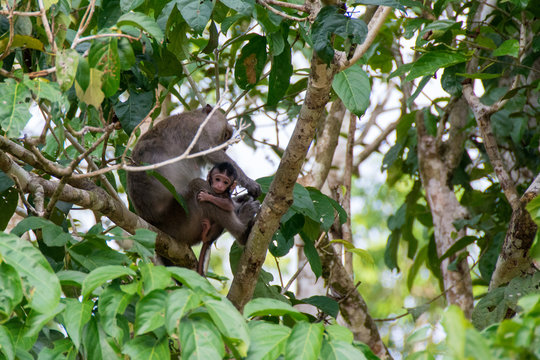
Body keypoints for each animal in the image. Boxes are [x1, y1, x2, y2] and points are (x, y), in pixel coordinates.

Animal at [127, 105, 262, 266]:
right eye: (225, 135)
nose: (224, 148)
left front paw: (240, 197)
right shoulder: (194, 128)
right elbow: (210, 152)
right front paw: (249, 183)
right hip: (179, 220)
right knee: (198, 186)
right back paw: (241, 229)